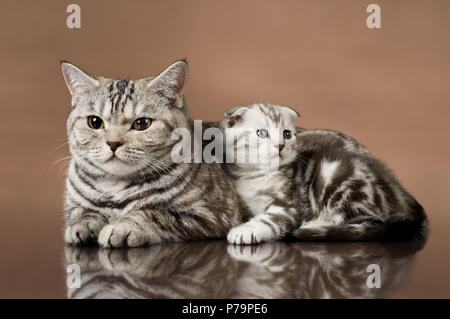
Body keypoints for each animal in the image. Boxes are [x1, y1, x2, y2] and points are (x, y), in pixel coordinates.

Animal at [60, 60, 244, 250]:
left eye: (142, 124)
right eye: (95, 122)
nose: (113, 143)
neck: (115, 187)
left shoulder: (212, 213)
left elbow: (153, 214)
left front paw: (122, 227)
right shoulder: (75, 204)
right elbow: (82, 211)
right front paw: (83, 224)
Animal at [221, 102, 428, 245]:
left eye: (287, 134)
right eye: (261, 133)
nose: (280, 145)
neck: (257, 176)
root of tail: (401, 197)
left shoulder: (290, 206)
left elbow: (269, 220)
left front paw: (244, 231)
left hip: (338, 180)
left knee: (366, 220)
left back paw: (315, 224)